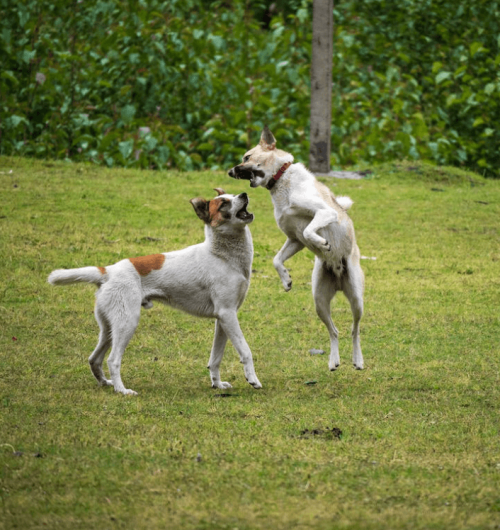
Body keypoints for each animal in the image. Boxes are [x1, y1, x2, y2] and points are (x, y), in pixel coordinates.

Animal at [48, 189, 264, 392]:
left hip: (109, 327)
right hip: (127, 322)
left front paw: (217, 384)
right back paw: (122, 390)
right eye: (223, 204)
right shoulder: (227, 315)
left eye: (234, 195)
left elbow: (215, 359)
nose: (244, 194)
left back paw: (106, 383)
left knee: (94, 359)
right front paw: (253, 379)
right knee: (112, 360)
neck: (221, 255)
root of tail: (108, 271)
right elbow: (246, 351)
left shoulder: (223, 319)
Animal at [229, 126, 366, 370]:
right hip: (319, 302)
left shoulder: (324, 213)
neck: (282, 179)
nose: (229, 171)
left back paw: (357, 360)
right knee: (334, 331)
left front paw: (322, 243)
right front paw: (286, 280)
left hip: (357, 299)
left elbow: (310, 230)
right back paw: (333, 361)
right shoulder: (294, 239)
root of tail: (339, 281)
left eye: (246, 157)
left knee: (354, 330)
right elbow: (277, 258)